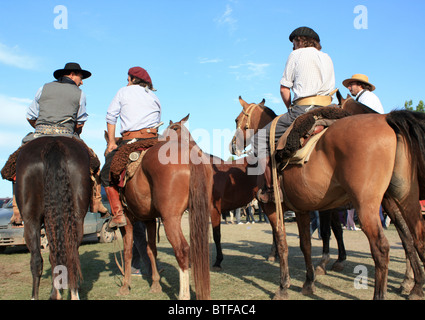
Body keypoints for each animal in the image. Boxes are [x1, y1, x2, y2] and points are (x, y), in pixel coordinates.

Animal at [14, 137, 92, 300]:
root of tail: (53, 143)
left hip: (30, 220)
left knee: (37, 259)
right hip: (76, 217)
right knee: (70, 254)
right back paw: (73, 293)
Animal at [106, 120, 212, 300]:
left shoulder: (127, 221)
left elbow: (128, 251)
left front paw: (125, 286)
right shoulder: (149, 219)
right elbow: (151, 250)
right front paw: (155, 284)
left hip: (170, 218)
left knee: (182, 249)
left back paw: (183, 295)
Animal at [230, 97, 424, 300]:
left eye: (237, 120)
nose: (233, 145)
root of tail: (386, 121)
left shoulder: (273, 209)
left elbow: (284, 243)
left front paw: (283, 286)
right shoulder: (302, 210)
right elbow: (306, 244)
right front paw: (309, 282)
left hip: (367, 207)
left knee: (382, 248)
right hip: (404, 200)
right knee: (415, 238)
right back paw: (415, 287)